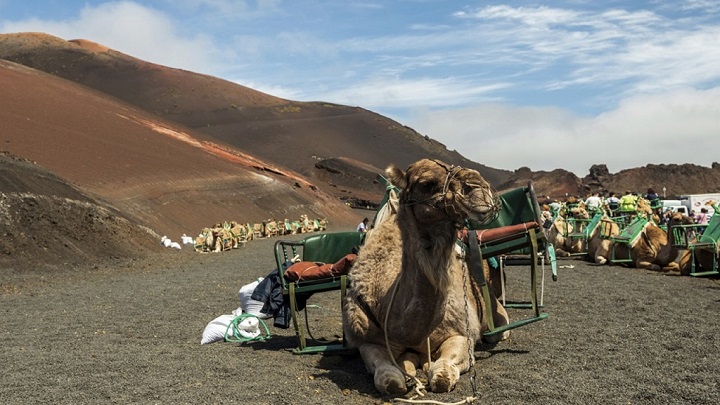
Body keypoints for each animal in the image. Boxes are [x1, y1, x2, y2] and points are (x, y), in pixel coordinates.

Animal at [340, 159, 510, 394]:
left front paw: (432, 368)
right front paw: (406, 372)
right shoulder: (367, 341)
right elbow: (388, 379)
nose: (479, 186)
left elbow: (442, 376)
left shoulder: (461, 333)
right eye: (427, 183)